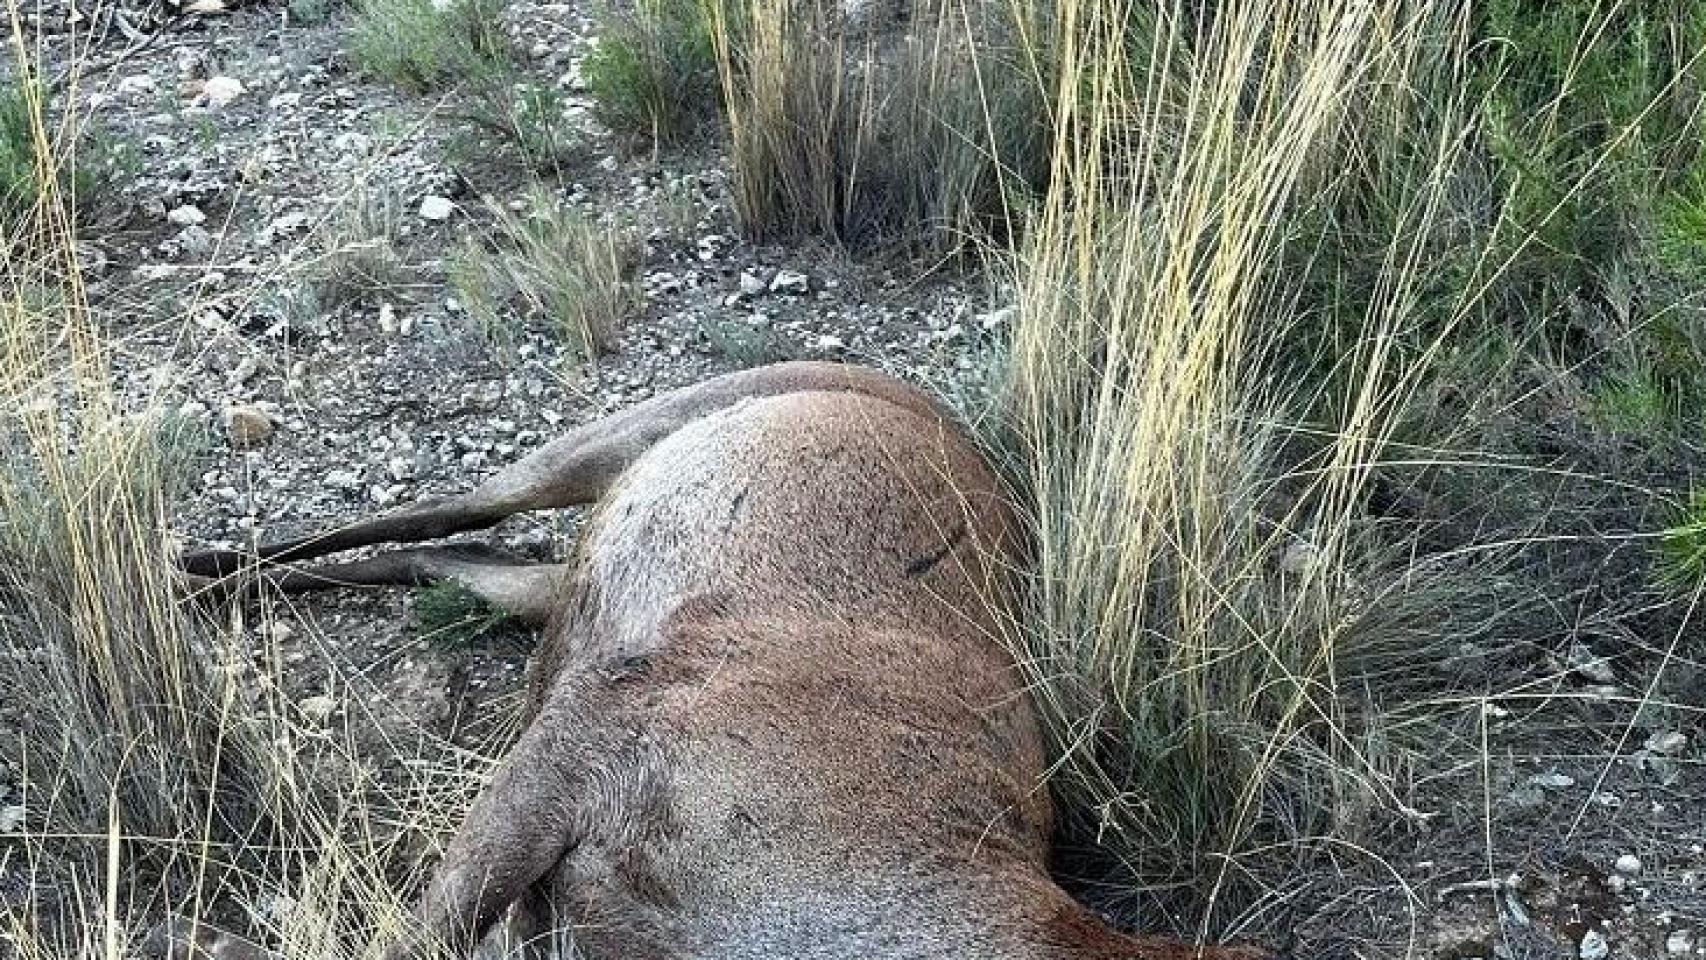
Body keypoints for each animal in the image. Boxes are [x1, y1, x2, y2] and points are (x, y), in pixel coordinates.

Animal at [161, 361, 1273, 960]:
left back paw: (213, 579)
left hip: (556, 586)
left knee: (455, 562)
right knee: (452, 505)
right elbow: (413, 932)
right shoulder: (605, 728)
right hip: (621, 435)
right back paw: (195, 566)